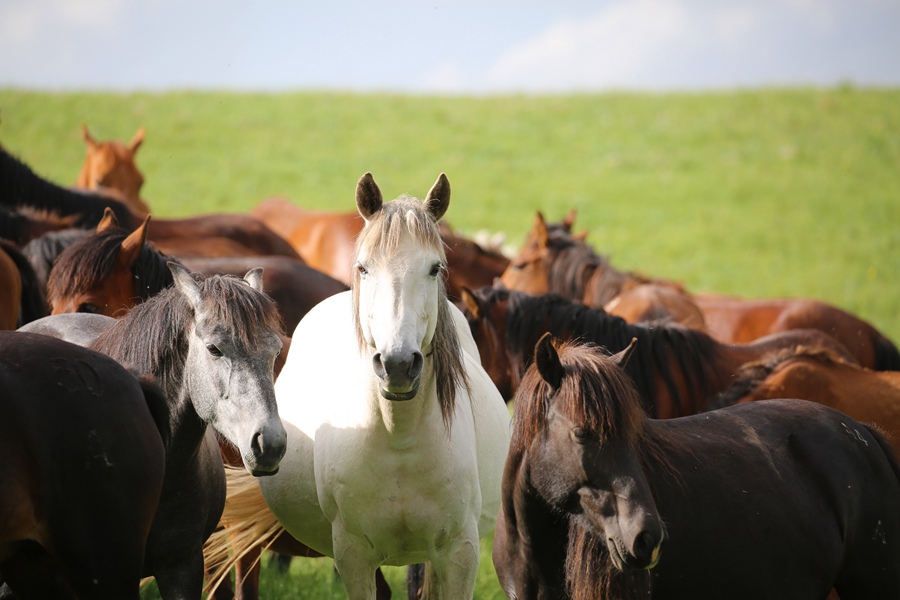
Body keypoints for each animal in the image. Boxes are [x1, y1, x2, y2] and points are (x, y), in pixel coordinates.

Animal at [207, 172, 510, 596]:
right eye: (364, 268)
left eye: (435, 268)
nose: (398, 364)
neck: (399, 438)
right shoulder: (352, 555)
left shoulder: (460, 554)